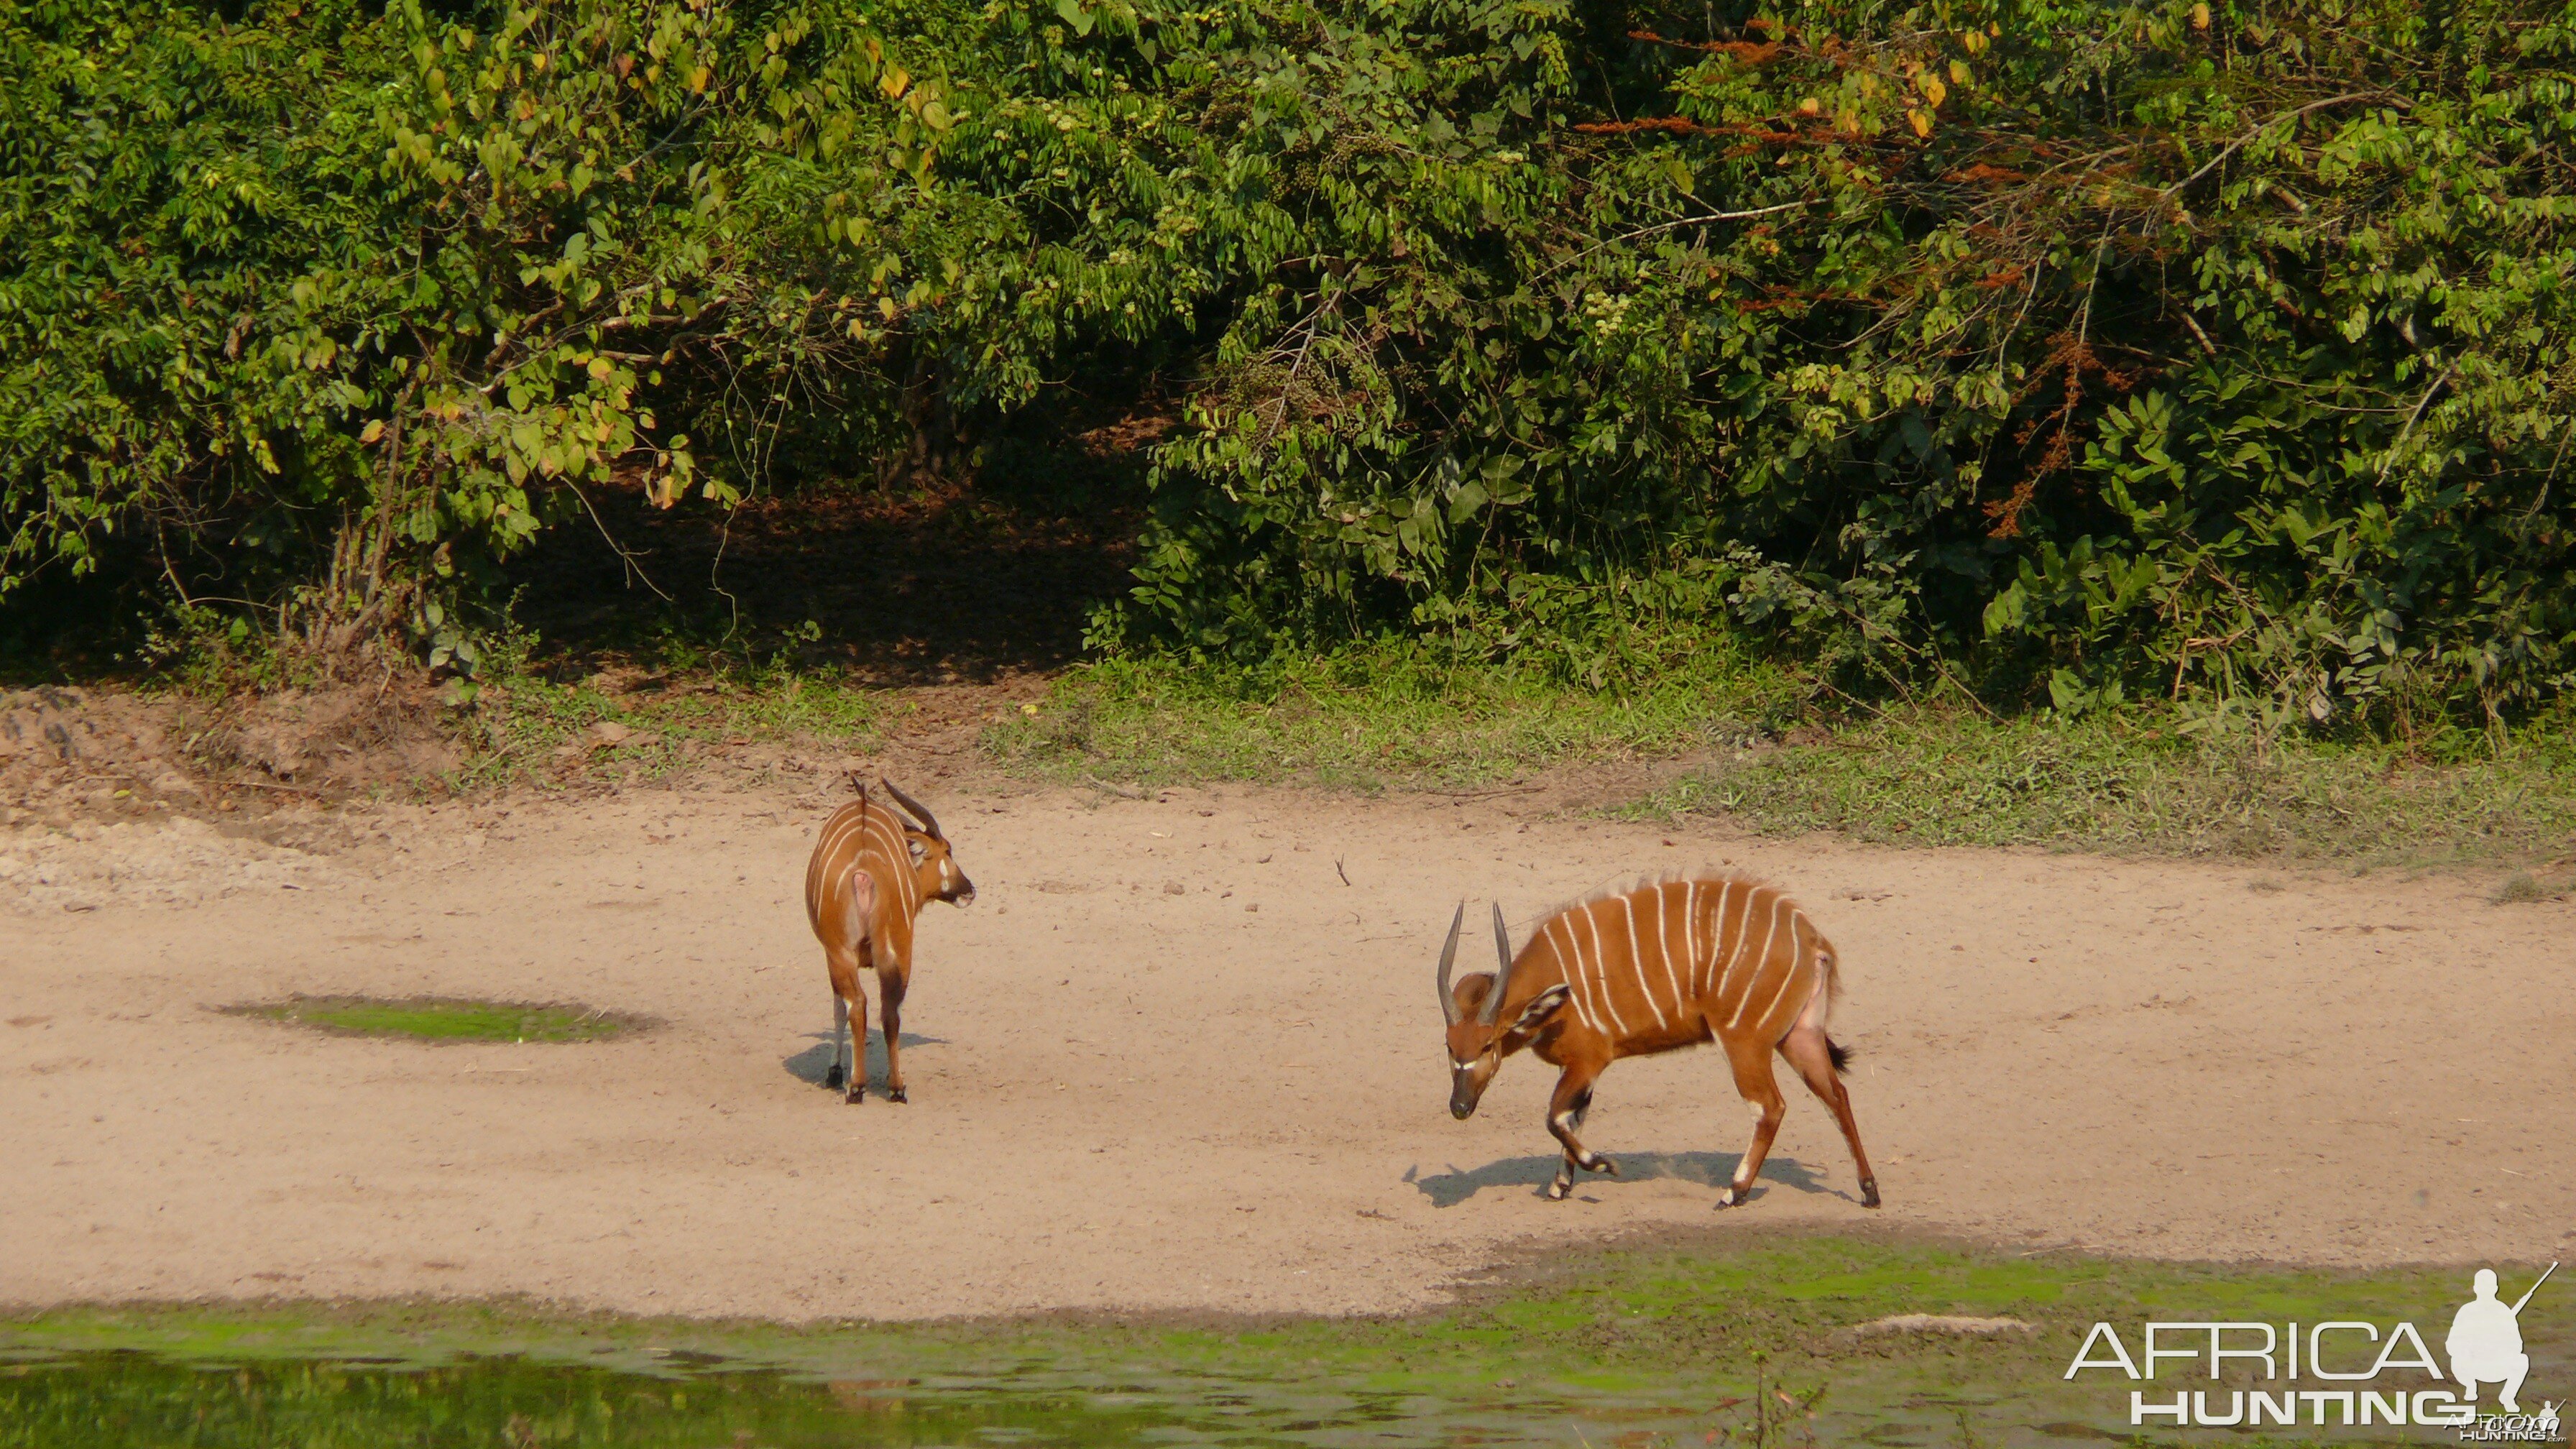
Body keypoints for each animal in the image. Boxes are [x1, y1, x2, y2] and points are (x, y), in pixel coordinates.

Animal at [799, 773, 968, 1098]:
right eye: (948, 851)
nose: (969, 890)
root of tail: (864, 873)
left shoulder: (833, 953)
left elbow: (839, 1007)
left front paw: (835, 1073)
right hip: (894, 952)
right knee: (888, 1009)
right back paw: (896, 1087)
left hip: (847, 952)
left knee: (858, 1003)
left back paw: (857, 1086)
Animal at [1443, 876, 1885, 1201]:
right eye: (1450, 1047)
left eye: (1487, 1045)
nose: (1459, 1107)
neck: (1556, 987)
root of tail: (1811, 938)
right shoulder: (1582, 1071)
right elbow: (1573, 1118)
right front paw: (1561, 1184)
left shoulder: (1589, 1061)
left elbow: (1555, 1117)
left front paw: (1601, 1165)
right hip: (1798, 1037)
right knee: (1836, 1094)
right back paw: (1868, 1191)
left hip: (1744, 1042)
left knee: (1770, 1107)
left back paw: (1734, 1192)